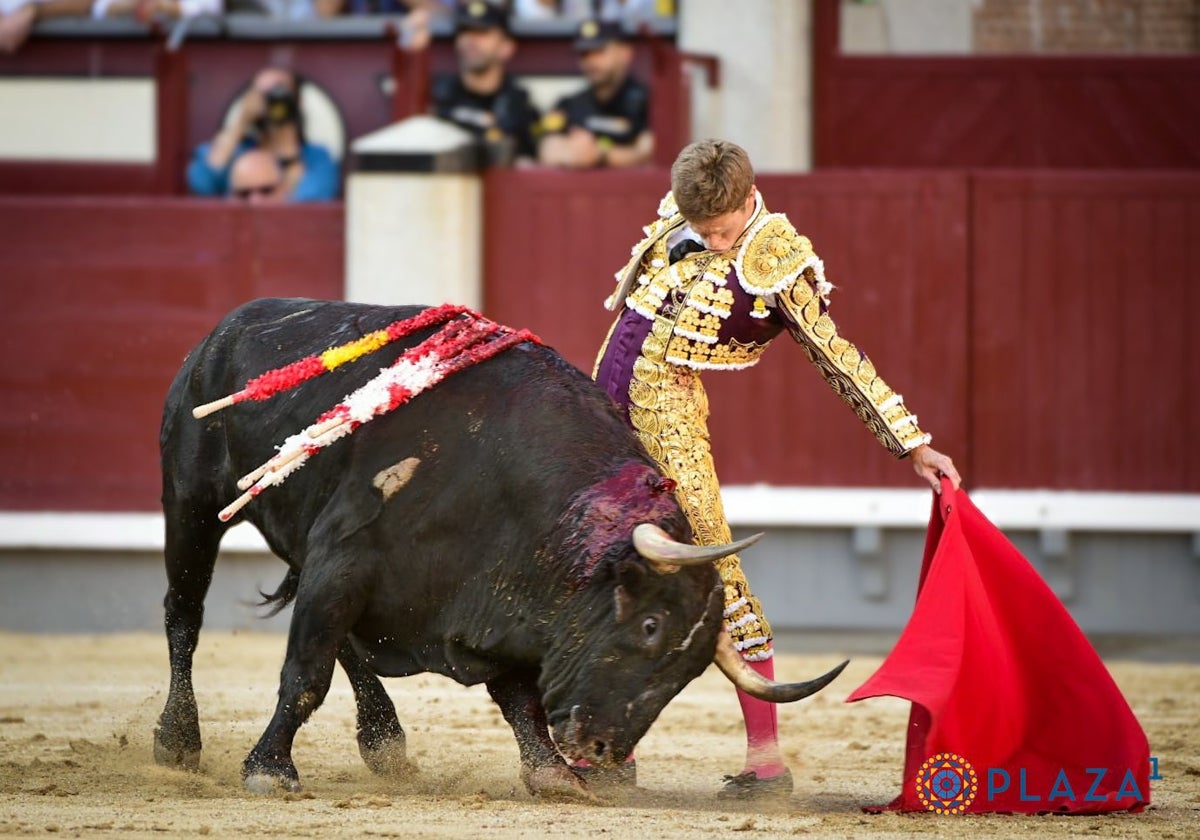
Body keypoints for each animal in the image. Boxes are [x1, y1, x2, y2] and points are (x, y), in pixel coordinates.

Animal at [154, 298, 849, 796]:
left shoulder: (501, 601)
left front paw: (553, 774)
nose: (603, 751)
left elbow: (519, 699)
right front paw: (269, 770)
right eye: (651, 625)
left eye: (688, 673)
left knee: (342, 645)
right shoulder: (343, 558)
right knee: (184, 614)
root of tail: (223, 330)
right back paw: (177, 741)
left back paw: (385, 743)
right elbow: (305, 674)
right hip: (192, 505)